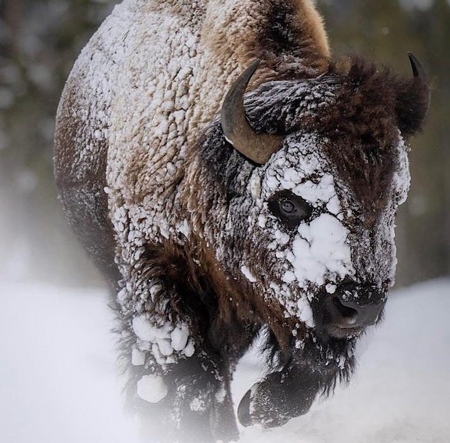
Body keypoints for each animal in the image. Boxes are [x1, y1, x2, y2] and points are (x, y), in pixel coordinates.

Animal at [53, 0, 428, 443]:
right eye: (289, 203)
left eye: (393, 201)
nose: (361, 304)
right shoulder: (156, 276)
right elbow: (187, 376)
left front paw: (253, 408)